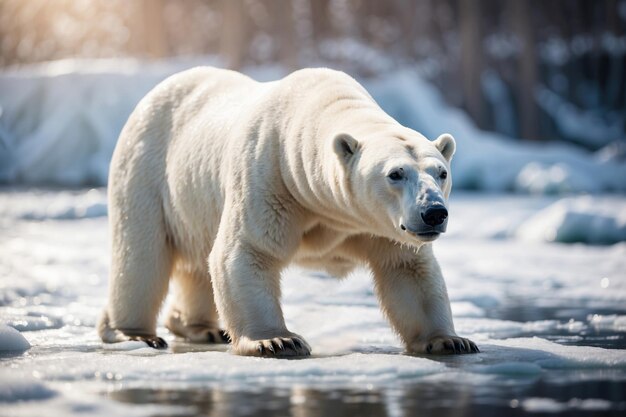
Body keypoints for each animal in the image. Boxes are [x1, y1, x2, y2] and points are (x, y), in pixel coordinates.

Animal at [98, 66, 478, 356]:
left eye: (441, 172)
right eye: (395, 174)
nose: (434, 212)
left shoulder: (378, 225)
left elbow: (407, 269)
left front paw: (450, 340)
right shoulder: (269, 175)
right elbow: (246, 251)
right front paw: (278, 341)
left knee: (196, 263)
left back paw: (202, 328)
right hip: (146, 169)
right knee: (142, 256)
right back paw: (134, 333)